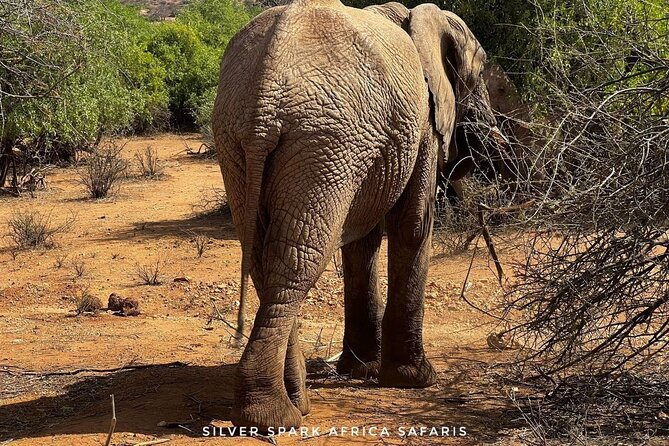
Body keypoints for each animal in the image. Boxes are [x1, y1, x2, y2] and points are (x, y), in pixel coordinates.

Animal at [212, 0, 506, 430]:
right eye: (481, 71)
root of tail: (263, 94)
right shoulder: (422, 123)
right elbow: (412, 226)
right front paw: (416, 379)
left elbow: (361, 241)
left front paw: (360, 371)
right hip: (325, 140)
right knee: (299, 259)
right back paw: (275, 415)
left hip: (240, 142)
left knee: (266, 257)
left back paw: (295, 400)